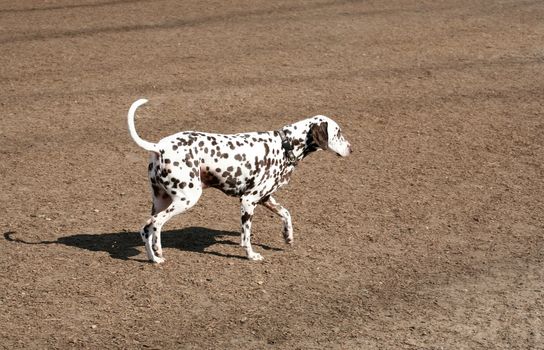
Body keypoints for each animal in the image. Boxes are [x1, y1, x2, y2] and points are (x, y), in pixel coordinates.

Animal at [128, 98, 352, 262]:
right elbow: (246, 237)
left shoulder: (266, 199)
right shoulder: (248, 201)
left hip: (161, 200)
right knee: (155, 224)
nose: (351, 149)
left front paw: (288, 236)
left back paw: (154, 258)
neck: (283, 145)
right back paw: (158, 253)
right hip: (186, 199)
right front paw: (251, 256)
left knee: (145, 229)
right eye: (338, 132)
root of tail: (159, 146)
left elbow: (286, 214)